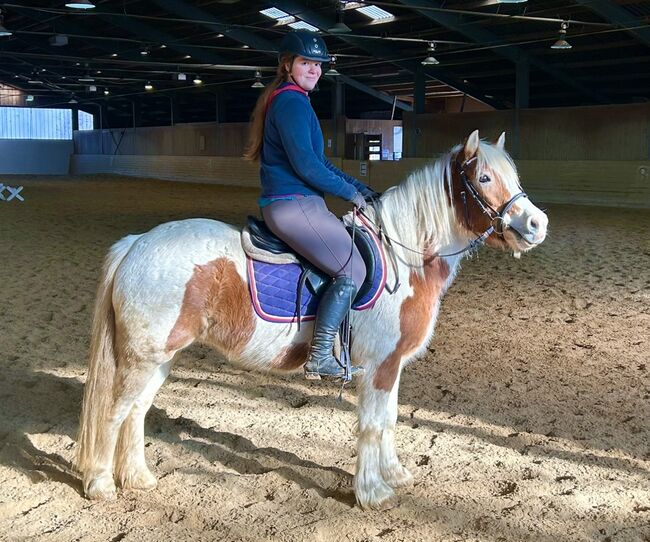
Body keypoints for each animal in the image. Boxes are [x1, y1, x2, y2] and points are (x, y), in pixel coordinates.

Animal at [76, 131, 548, 510]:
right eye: (484, 179)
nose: (537, 223)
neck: (404, 256)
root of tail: (137, 243)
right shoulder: (378, 367)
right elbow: (372, 425)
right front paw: (372, 494)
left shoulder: (390, 366)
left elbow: (390, 420)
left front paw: (394, 475)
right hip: (141, 359)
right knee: (114, 413)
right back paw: (101, 485)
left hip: (160, 358)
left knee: (136, 412)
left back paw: (138, 478)